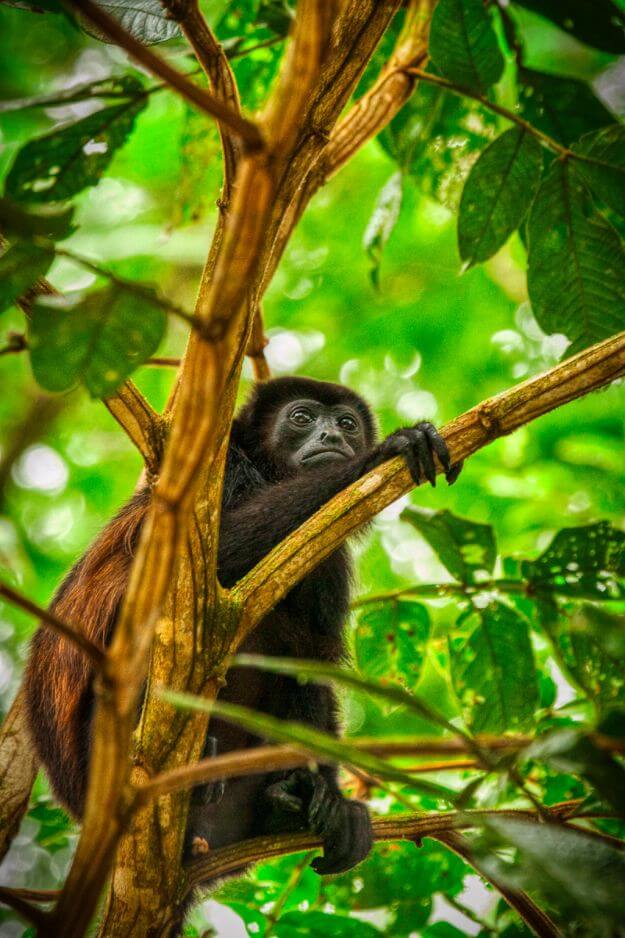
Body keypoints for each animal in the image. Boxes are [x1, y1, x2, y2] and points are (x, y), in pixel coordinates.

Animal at [24, 372, 458, 876]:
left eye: (347, 423)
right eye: (302, 417)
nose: (333, 438)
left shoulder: (329, 561)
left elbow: (314, 658)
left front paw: (329, 798)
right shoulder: (222, 468)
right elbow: (213, 554)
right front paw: (384, 453)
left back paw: (286, 804)